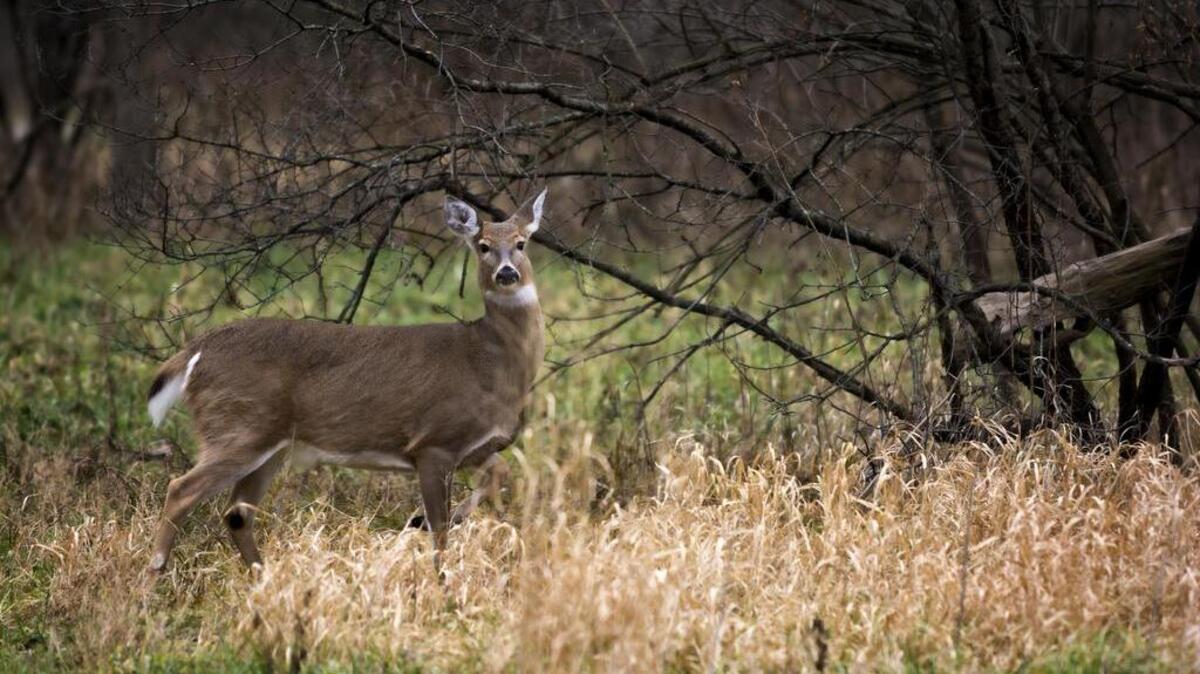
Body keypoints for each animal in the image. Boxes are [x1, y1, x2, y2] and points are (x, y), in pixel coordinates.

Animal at [144, 189, 547, 575]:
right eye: (483, 246)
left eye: (521, 242)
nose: (507, 273)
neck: (488, 360)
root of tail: (195, 351)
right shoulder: (434, 442)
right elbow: (441, 530)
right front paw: (441, 581)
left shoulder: (474, 447)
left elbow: (499, 472)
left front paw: (428, 525)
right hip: (238, 427)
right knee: (181, 489)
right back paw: (152, 580)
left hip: (270, 445)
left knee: (237, 514)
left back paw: (263, 580)